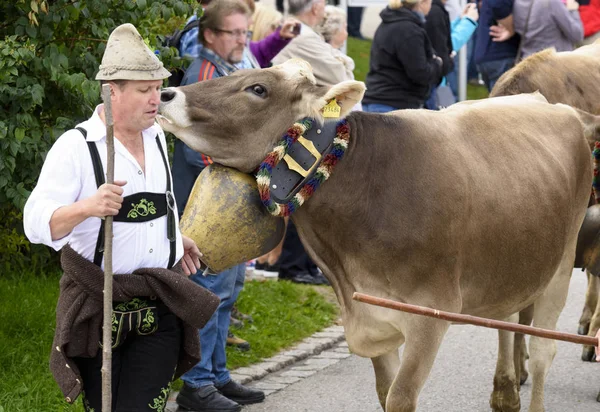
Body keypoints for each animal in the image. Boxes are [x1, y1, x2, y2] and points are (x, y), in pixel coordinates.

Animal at [158, 58, 596, 412]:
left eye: (258, 89)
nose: (166, 92)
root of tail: (554, 105)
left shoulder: (430, 315)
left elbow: (401, 397)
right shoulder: (372, 313)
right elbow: (385, 393)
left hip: (561, 262)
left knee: (543, 348)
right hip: (508, 263)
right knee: (507, 319)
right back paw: (505, 393)